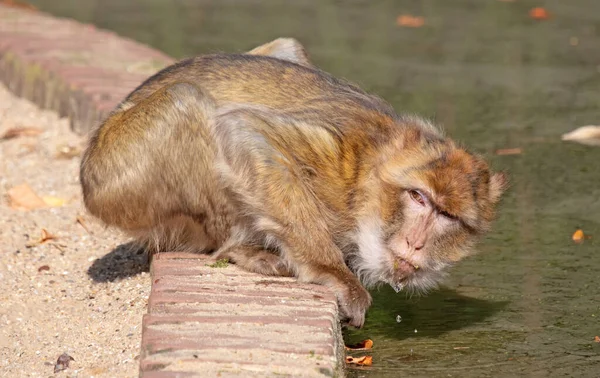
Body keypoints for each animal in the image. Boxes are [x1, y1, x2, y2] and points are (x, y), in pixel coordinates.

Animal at [79, 37, 506, 328]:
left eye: (447, 216)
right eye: (418, 197)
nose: (416, 243)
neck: (364, 180)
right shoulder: (338, 157)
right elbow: (244, 128)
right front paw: (333, 273)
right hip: (114, 180)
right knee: (188, 101)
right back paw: (238, 249)